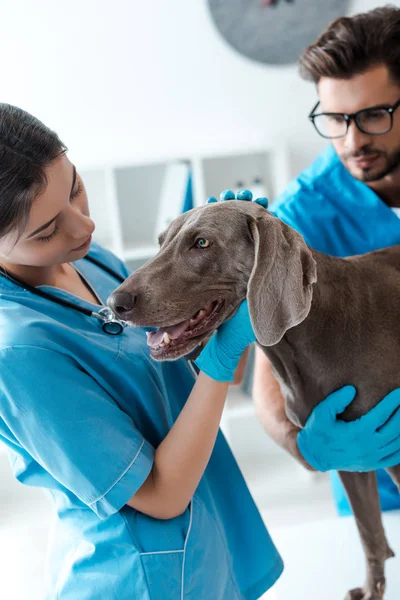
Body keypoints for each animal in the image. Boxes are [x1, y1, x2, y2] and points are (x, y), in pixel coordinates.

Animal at [108, 198, 398, 600]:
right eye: (161, 242)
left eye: (202, 243)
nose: (115, 301)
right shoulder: (349, 447)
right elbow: (369, 531)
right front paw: (373, 590)